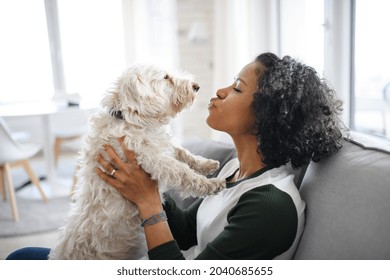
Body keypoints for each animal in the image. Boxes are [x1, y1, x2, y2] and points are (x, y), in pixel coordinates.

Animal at [48, 64, 225, 260]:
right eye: (166, 77)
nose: (196, 86)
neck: (130, 119)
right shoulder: (154, 159)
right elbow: (183, 172)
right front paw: (212, 184)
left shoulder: (162, 145)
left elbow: (183, 152)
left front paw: (207, 164)